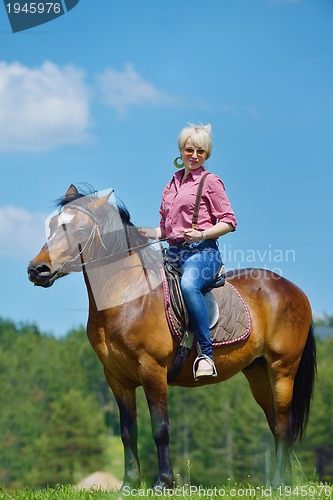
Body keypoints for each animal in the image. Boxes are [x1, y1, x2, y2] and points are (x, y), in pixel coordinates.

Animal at [27, 186, 316, 490]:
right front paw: (129, 485)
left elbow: (160, 428)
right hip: (258, 372)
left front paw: (164, 482)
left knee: (284, 424)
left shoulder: (152, 370)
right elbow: (128, 431)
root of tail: (295, 290)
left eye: (79, 229)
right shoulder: (116, 377)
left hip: (282, 368)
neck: (129, 296)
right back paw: (283, 481)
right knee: (275, 423)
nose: (37, 269)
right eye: (52, 226)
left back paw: (279, 482)